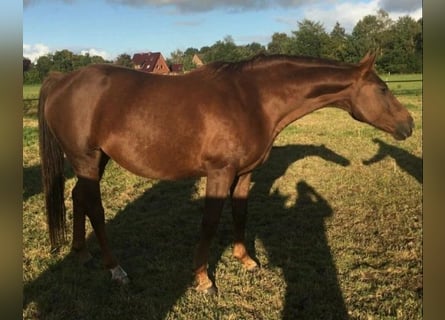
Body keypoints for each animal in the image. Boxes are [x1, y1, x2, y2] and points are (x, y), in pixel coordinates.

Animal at [38, 52, 412, 292]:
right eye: (382, 89)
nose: (408, 125)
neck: (253, 98)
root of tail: (62, 79)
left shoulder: (244, 174)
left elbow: (241, 213)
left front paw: (246, 260)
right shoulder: (219, 173)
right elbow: (210, 221)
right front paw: (203, 279)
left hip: (96, 160)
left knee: (78, 197)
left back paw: (81, 253)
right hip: (86, 159)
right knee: (95, 208)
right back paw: (115, 269)